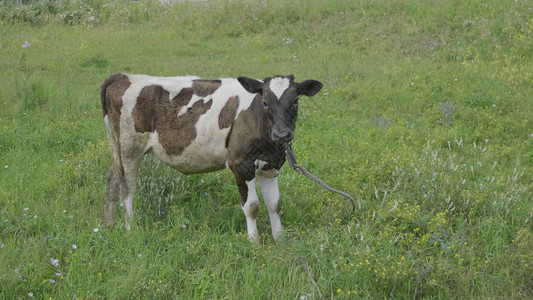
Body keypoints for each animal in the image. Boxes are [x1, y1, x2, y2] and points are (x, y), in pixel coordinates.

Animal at [101, 73, 322, 244]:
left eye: (295, 101)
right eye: (265, 102)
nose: (282, 134)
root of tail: (123, 76)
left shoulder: (270, 166)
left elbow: (274, 205)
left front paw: (280, 240)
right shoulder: (240, 164)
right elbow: (252, 207)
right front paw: (254, 242)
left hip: (121, 151)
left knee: (112, 178)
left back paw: (108, 225)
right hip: (130, 148)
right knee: (126, 189)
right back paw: (130, 229)